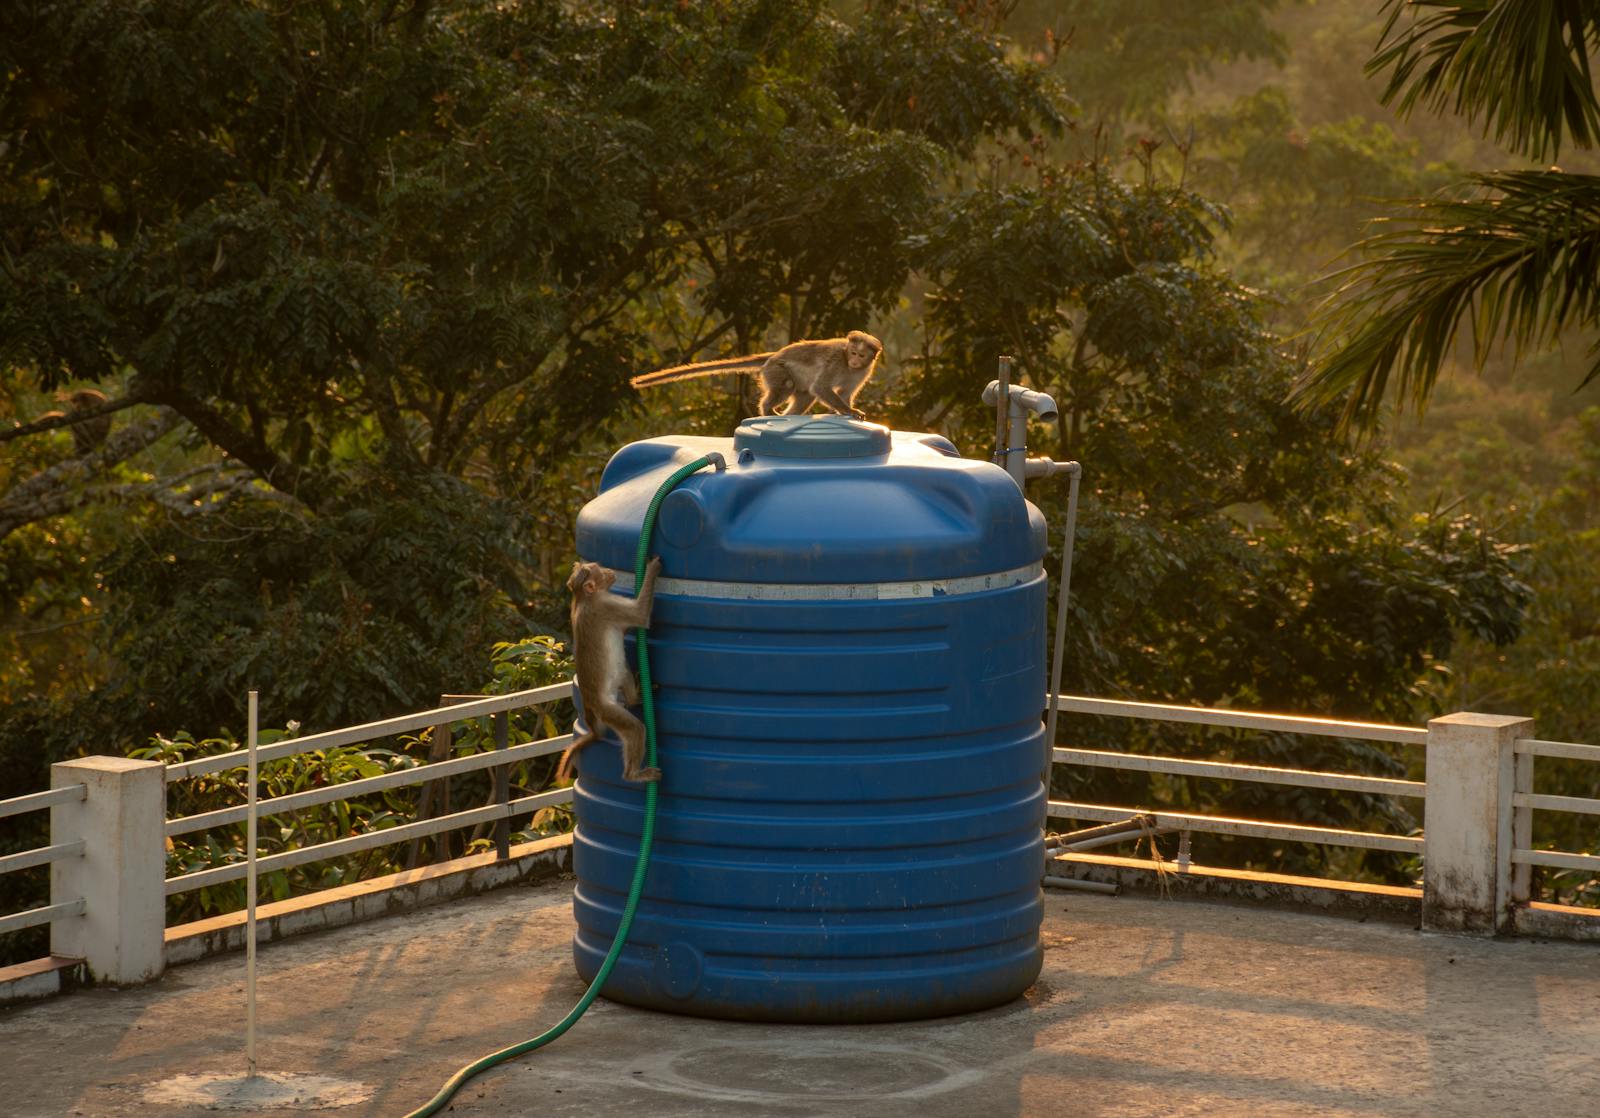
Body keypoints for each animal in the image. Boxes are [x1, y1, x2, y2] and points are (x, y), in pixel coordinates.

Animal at [557, 556, 664, 784]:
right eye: (600, 570)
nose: (609, 570)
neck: (583, 598)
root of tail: (590, 709)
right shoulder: (605, 605)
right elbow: (640, 616)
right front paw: (652, 569)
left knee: (622, 670)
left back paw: (635, 698)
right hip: (608, 711)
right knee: (634, 729)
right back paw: (633, 775)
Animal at [629, 331, 884, 419]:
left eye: (861, 356)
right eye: (852, 352)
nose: (854, 360)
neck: (848, 365)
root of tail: (774, 355)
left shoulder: (862, 372)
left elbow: (845, 392)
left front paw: (847, 409)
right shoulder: (835, 361)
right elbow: (821, 388)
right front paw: (847, 410)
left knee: (803, 394)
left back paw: (788, 415)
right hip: (776, 369)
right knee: (788, 385)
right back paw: (767, 410)